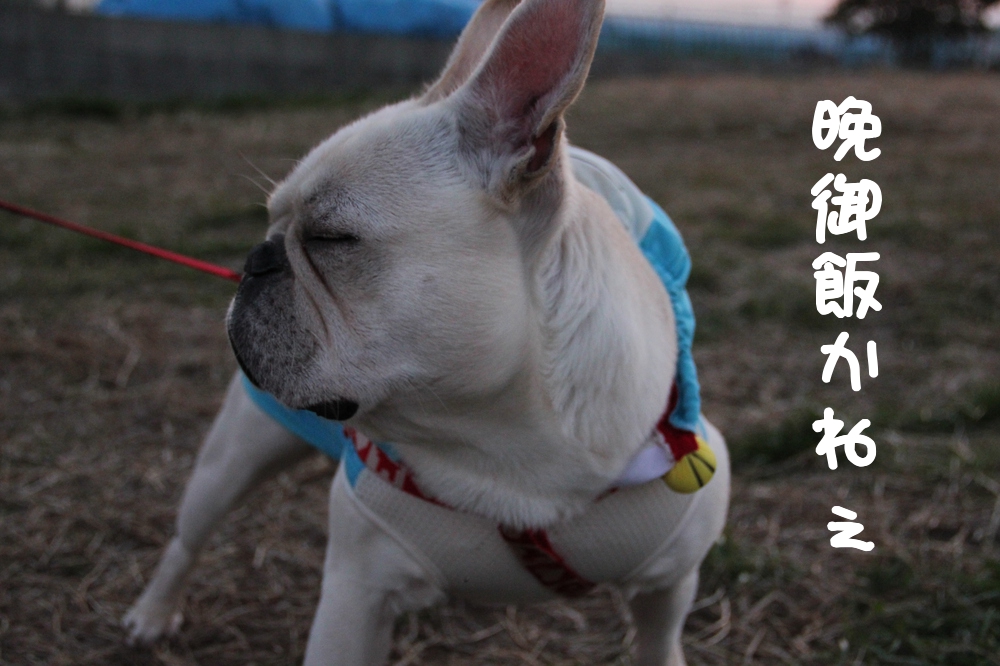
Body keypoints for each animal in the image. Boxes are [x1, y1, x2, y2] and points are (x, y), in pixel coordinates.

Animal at [122, 0, 730, 663]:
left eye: (331, 238)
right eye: (272, 226)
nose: (256, 260)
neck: (505, 443)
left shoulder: (670, 581)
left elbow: (659, 640)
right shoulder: (354, 597)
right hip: (236, 453)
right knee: (188, 537)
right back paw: (152, 613)